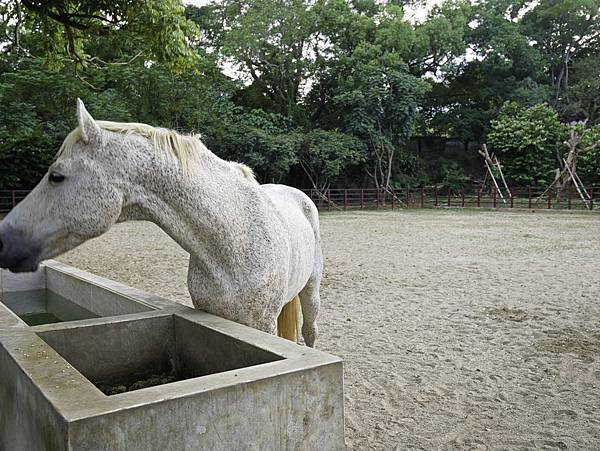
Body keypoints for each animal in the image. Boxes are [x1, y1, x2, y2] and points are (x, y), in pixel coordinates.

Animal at [0, 100, 324, 348]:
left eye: (57, 176)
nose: (3, 239)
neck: (234, 244)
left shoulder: (263, 323)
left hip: (311, 291)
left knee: (310, 332)